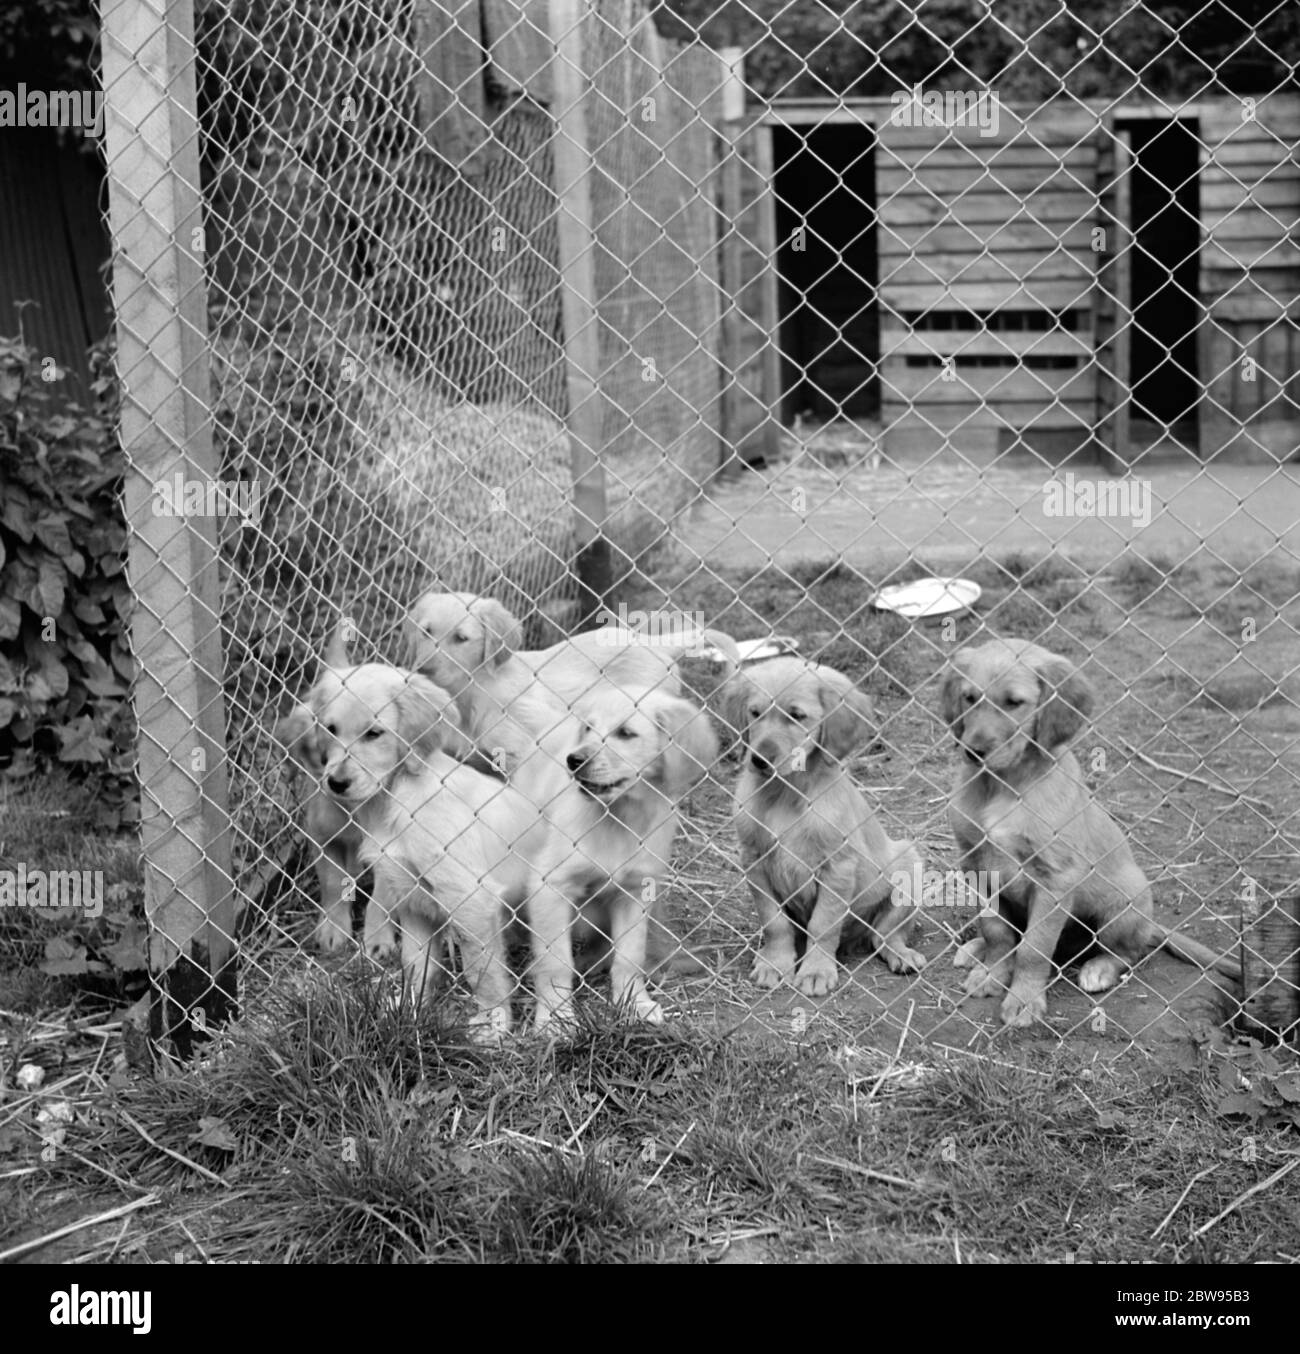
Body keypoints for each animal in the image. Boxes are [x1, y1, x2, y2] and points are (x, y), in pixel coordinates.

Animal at [520, 687, 720, 1023]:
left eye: (626, 733)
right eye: (589, 728)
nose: (574, 760)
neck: (618, 816)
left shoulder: (635, 890)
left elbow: (629, 956)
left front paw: (634, 1002)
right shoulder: (550, 885)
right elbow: (555, 962)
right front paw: (555, 1019)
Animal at [720, 655, 926, 996]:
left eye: (796, 716)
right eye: (755, 713)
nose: (759, 760)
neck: (787, 793)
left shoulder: (837, 867)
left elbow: (823, 925)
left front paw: (816, 971)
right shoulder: (754, 860)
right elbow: (774, 922)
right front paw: (774, 963)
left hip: (909, 865)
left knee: (884, 934)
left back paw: (901, 953)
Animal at [942, 636, 1240, 1023]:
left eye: (1014, 703)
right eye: (969, 698)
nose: (973, 751)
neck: (1004, 785)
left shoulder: (1055, 879)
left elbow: (1034, 949)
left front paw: (1023, 1000)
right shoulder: (974, 862)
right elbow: (996, 931)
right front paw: (992, 973)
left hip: (1123, 904)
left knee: (1127, 952)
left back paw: (1100, 968)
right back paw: (974, 950)